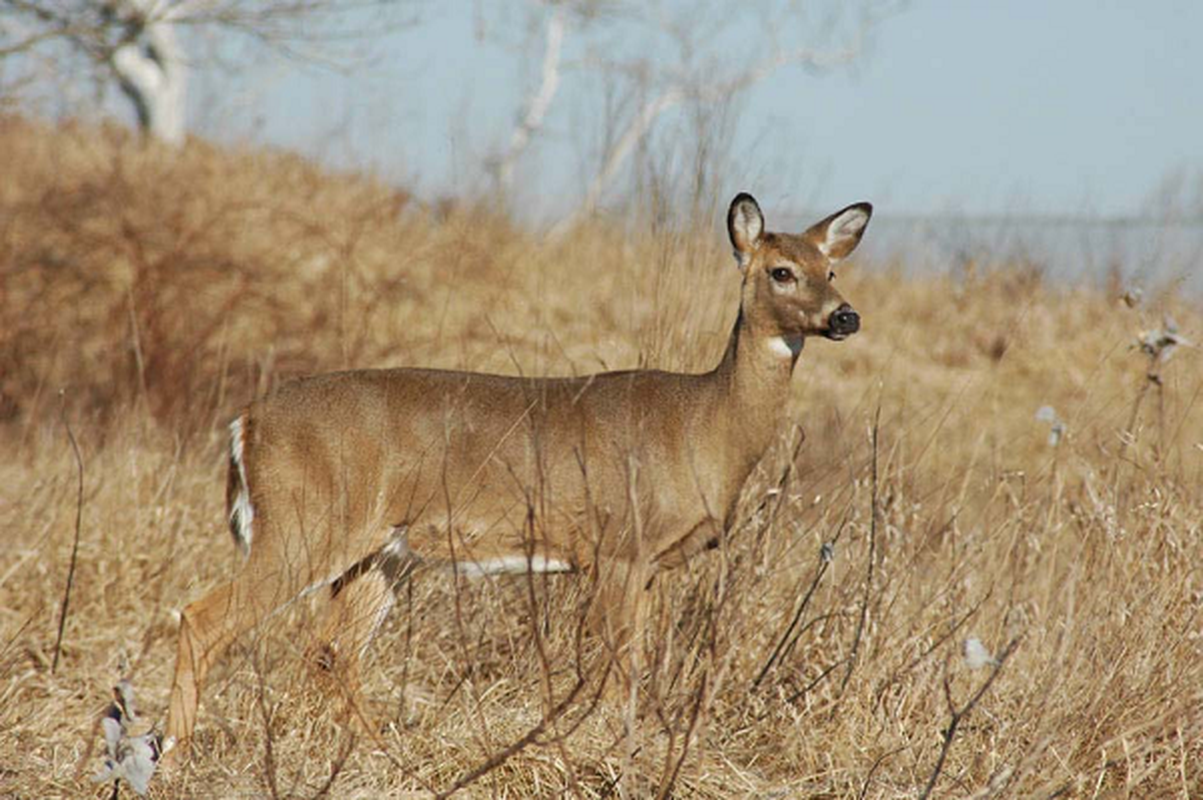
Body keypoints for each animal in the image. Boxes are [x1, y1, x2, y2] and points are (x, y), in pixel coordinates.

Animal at [162, 190, 875, 760]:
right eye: (782, 271)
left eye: (832, 269)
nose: (846, 316)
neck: (703, 426)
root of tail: (245, 422)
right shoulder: (616, 547)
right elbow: (617, 672)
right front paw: (610, 755)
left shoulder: (647, 564)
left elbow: (633, 667)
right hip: (304, 523)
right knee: (203, 618)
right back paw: (173, 757)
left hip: (380, 552)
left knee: (331, 651)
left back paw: (387, 759)